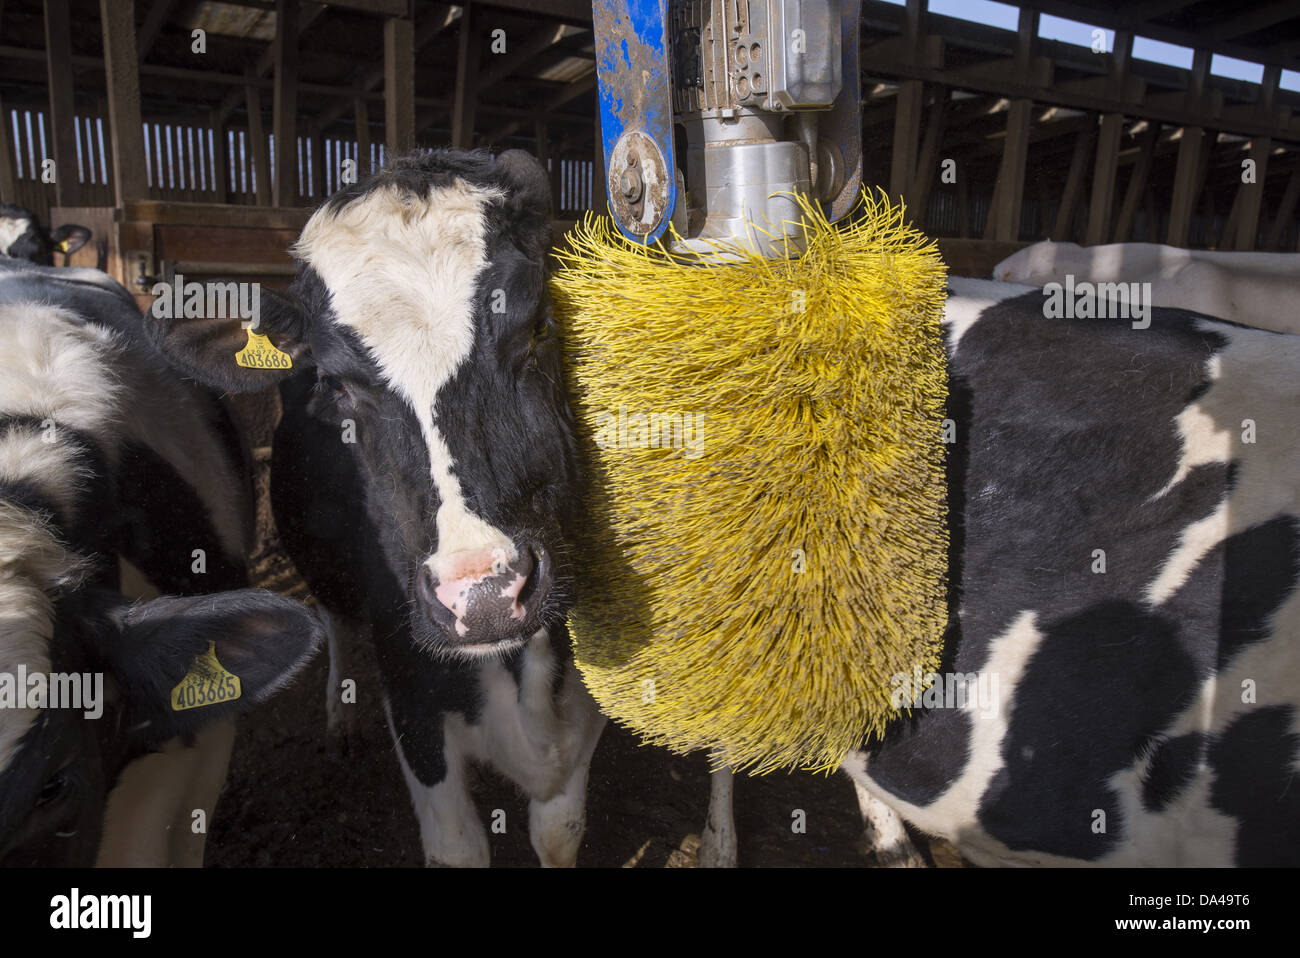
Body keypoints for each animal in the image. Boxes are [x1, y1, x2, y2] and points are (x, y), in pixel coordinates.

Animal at [145, 149, 606, 868]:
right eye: (338, 386)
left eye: (538, 327)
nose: (484, 595)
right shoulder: (413, 699)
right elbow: (457, 846)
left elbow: (558, 834)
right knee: (335, 620)